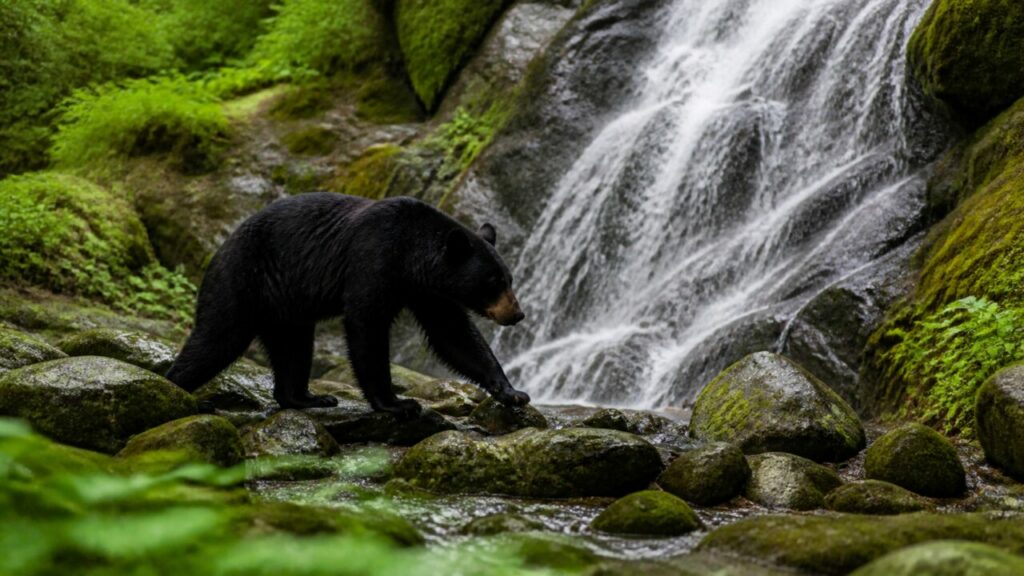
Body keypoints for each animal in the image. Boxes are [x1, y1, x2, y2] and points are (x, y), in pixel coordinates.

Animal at [166, 192, 530, 417]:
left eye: (509, 278)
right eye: (493, 282)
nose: (517, 314)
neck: (410, 254)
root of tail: (219, 250)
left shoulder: (426, 291)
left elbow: (453, 333)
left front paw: (512, 392)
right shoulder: (373, 259)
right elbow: (366, 326)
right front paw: (397, 403)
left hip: (285, 306)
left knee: (294, 348)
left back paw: (306, 397)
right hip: (240, 282)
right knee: (216, 339)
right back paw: (176, 389)